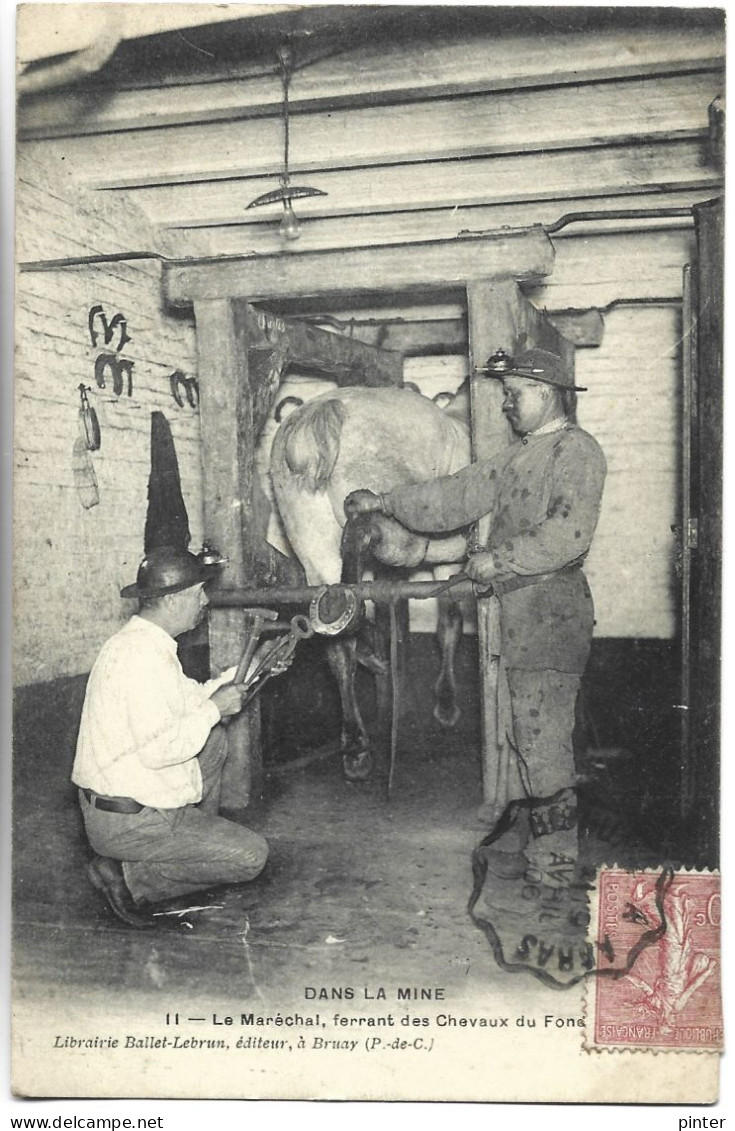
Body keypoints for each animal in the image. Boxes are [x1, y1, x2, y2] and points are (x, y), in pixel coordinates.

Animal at [269, 384, 470, 782]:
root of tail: (318, 414)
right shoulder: (451, 561)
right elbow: (450, 624)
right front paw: (446, 705)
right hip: (406, 534)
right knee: (363, 532)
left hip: (315, 549)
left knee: (334, 633)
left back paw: (357, 744)